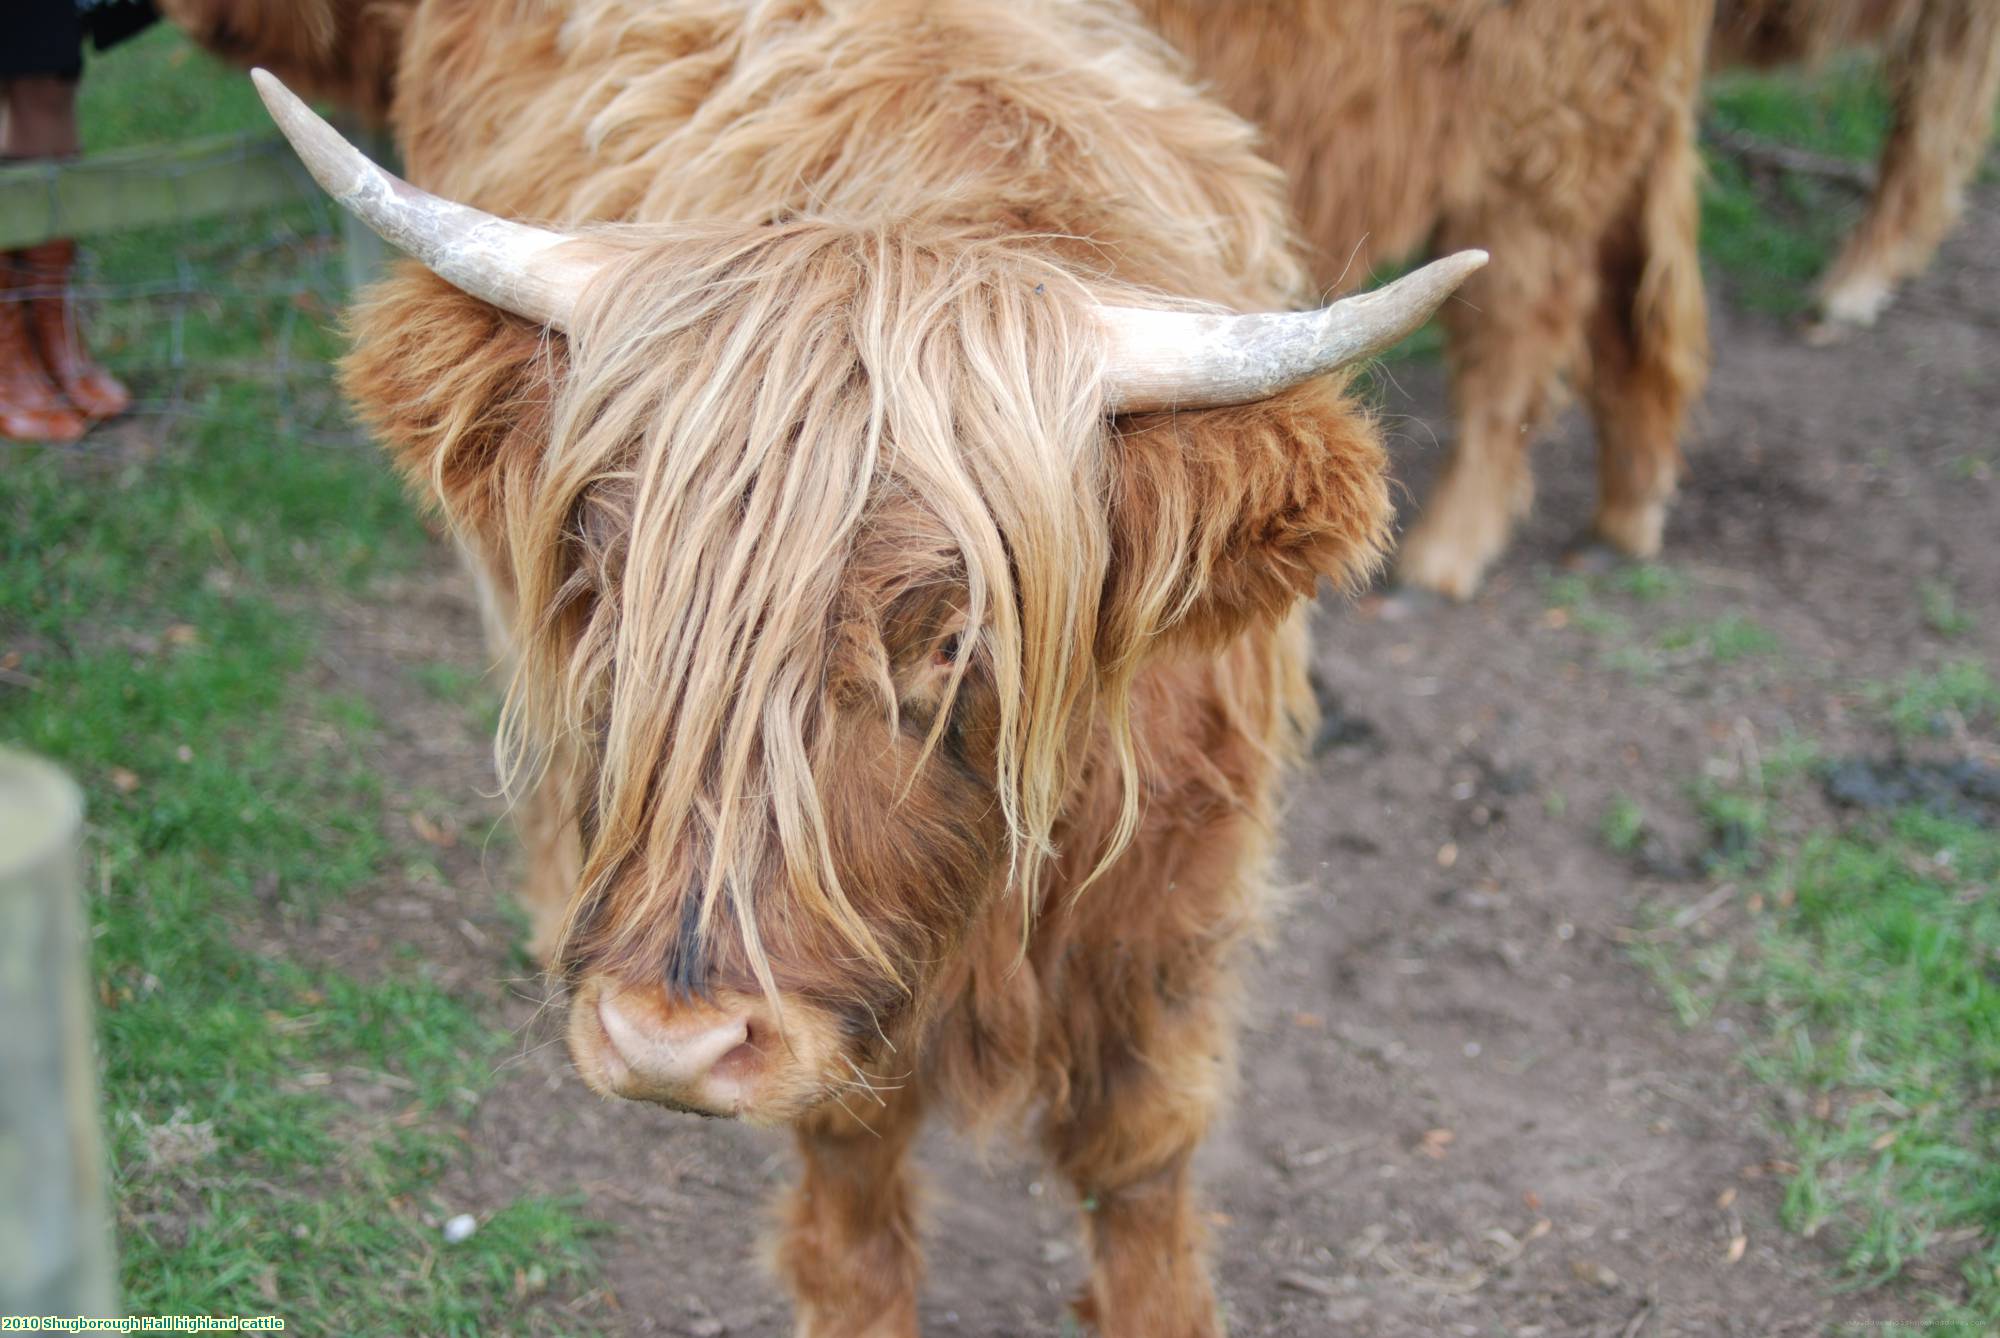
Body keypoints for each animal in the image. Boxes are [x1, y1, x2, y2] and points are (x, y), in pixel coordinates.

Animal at [246, 2, 1488, 1336]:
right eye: (608, 583)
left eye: (948, 640)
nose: (664, 1043)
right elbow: (853, 1195)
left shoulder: (1167, 912)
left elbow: (1139, 1159)